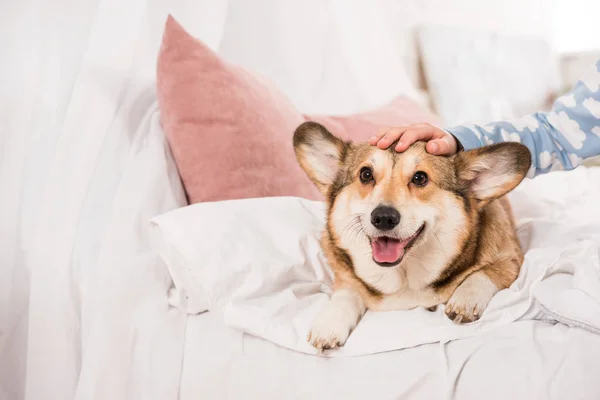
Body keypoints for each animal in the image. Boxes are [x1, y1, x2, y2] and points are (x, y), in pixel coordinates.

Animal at [290, 121, 528, 350]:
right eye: (365, 174)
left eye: (420, 178)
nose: (383, 217)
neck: (404, 279)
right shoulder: (344, 275)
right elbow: (347, 291)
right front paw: (328, 324)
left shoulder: (511, 259)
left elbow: (484, 274)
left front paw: (465, 300)